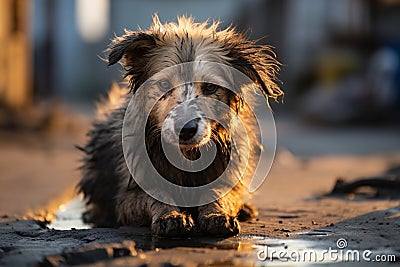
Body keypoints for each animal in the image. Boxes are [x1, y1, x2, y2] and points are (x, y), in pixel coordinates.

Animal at [77, 14, 282, 238]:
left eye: (210, 87)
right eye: (164, 84)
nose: (185, 129)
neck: (188, 157)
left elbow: (218, 192)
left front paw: (216, 214)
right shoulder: (126, 198)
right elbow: (156, 194)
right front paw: (171, 216)